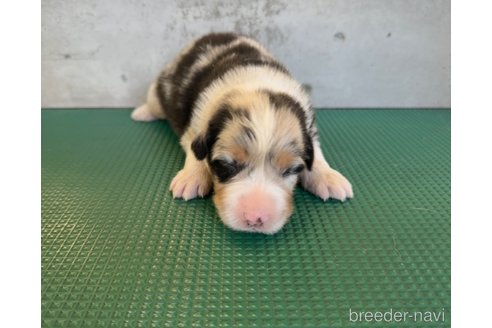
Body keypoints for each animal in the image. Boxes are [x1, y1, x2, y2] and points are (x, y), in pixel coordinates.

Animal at [132, 32, 354, 233]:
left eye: (291, 169)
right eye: (226, 165)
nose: (255, 219)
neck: (257, 85)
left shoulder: (310, 129)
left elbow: (316, 155)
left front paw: (329, 177)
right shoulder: (195, 125)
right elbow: (196, 153)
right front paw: (191, 178)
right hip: (158, 93)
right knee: (153, 103)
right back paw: (141, 113)